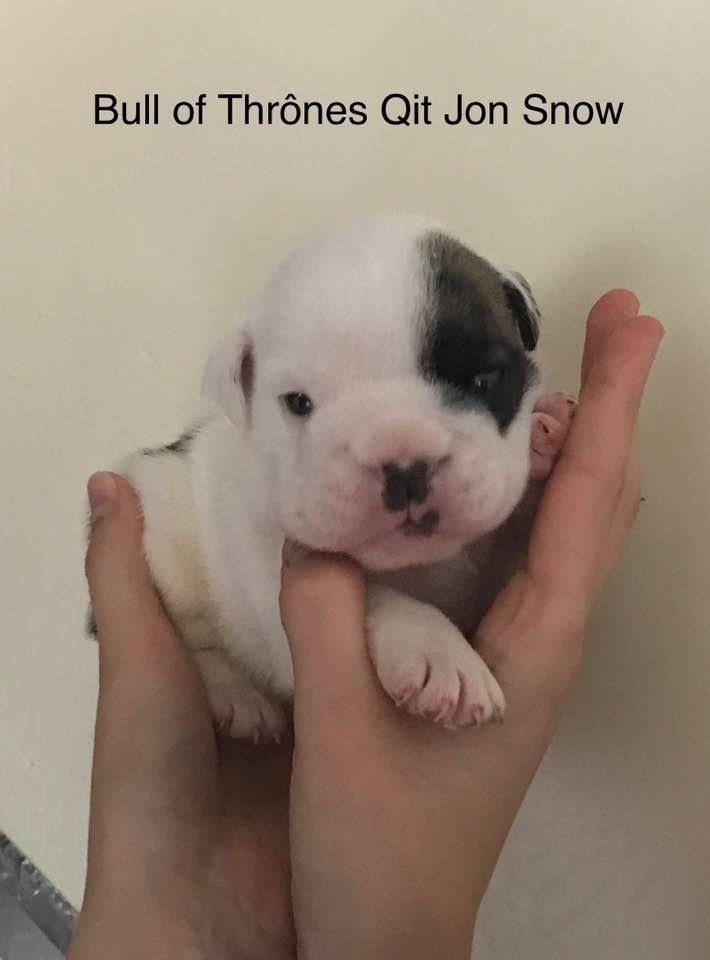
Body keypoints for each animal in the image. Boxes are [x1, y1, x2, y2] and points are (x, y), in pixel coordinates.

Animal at [106, 216, 574, 742]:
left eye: (482, 380)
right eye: (299, 403)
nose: (403, 461)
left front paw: (544, 439)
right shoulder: (272, 587)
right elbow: (379, 598)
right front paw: (438, 651)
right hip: (164, 532)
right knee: (196, 642)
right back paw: (237, 697)